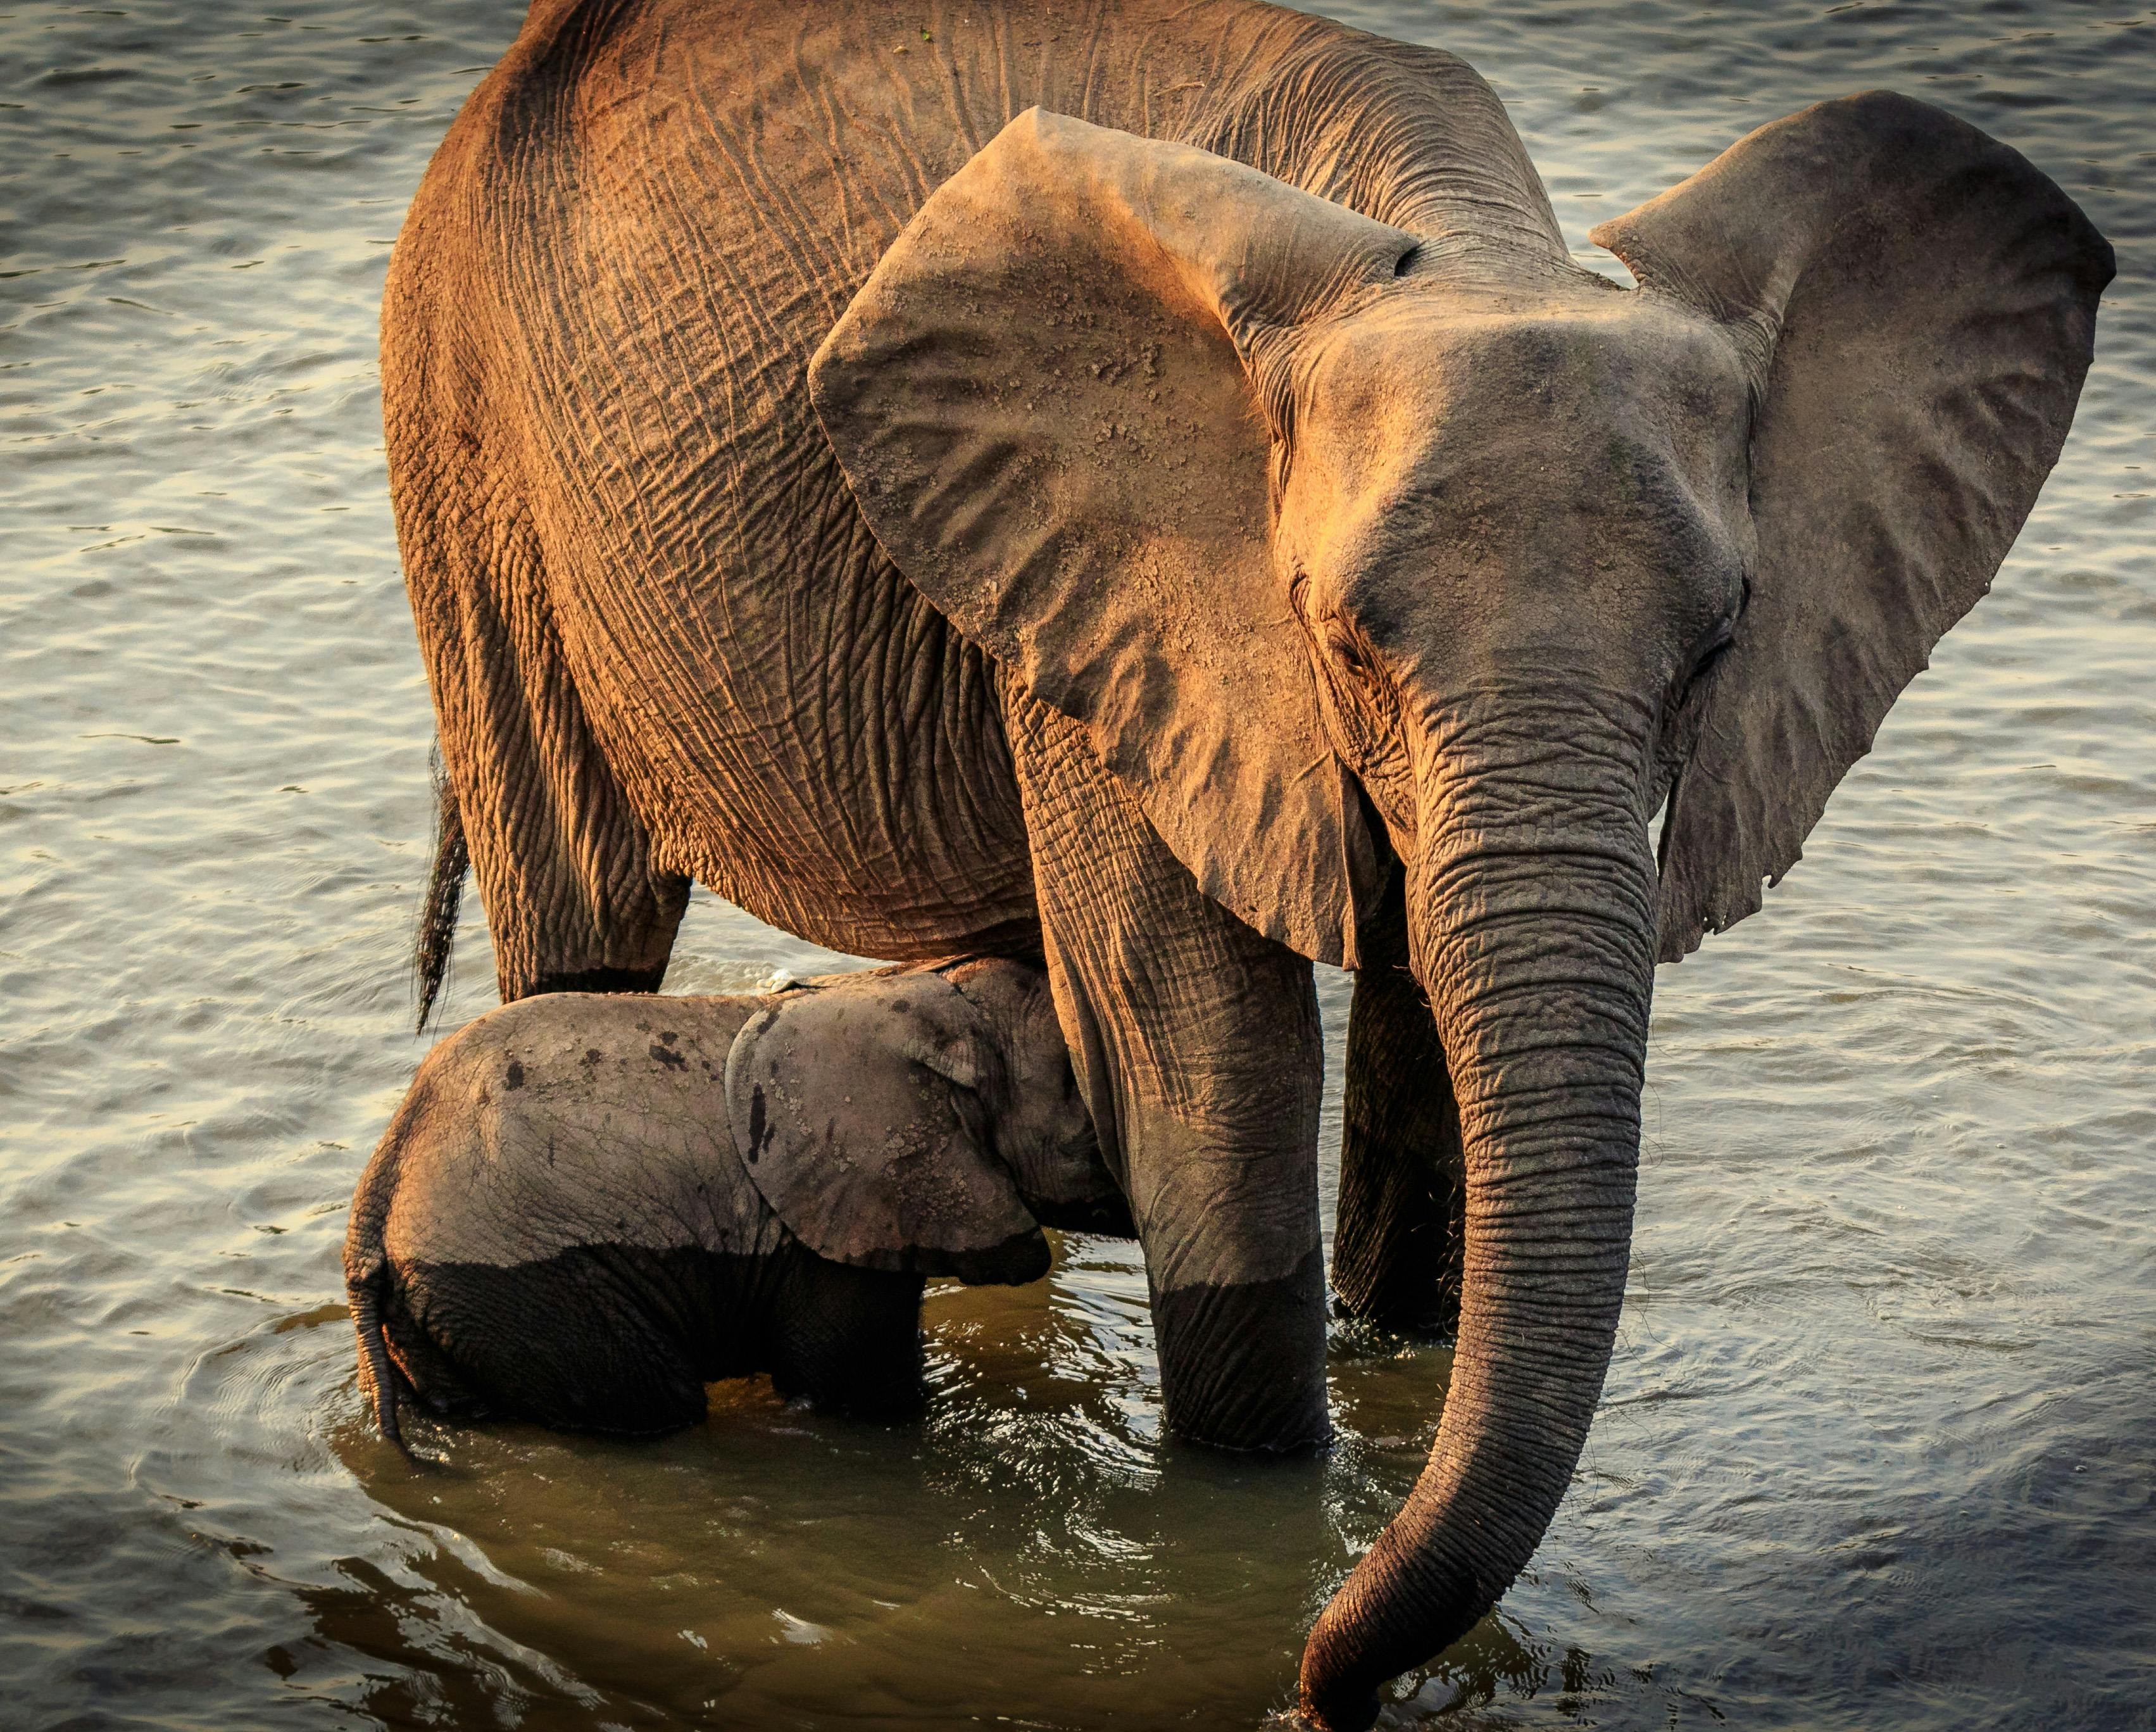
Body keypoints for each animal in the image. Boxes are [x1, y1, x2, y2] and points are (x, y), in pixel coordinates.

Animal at [341, 962, 1129, 1449]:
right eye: (1082, 1101)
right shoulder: (833, 1226)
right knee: (660, 1408)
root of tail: (375, 1202)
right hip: (526, 1288)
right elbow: (855, 1390)